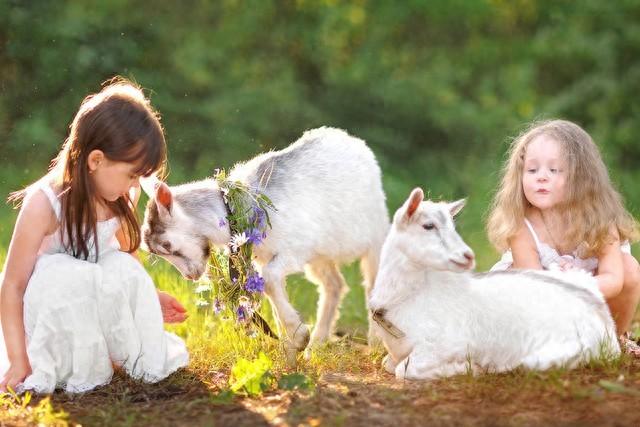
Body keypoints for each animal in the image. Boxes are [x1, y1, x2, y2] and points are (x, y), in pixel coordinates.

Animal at [141, 127, 390, 354]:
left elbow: (270, 279)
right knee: (334, 285)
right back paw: (318, 342)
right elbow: (270, 287)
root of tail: (352, 140)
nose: (190, 276)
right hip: (321, 255)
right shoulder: (263, 257)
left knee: (373, 281)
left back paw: (376, 343)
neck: (235, 207)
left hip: (376, 235)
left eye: (167, 245)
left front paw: (299, 336)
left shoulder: (293, 251)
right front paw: (289, 343)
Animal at [368, 188, 624, 382]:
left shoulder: (446, 344)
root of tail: (606, 326)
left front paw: (468, 368)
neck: (410, 299)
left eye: (453, 226)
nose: (467, 256)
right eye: (428, 226)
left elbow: (404, 370)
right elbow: (388, 364)